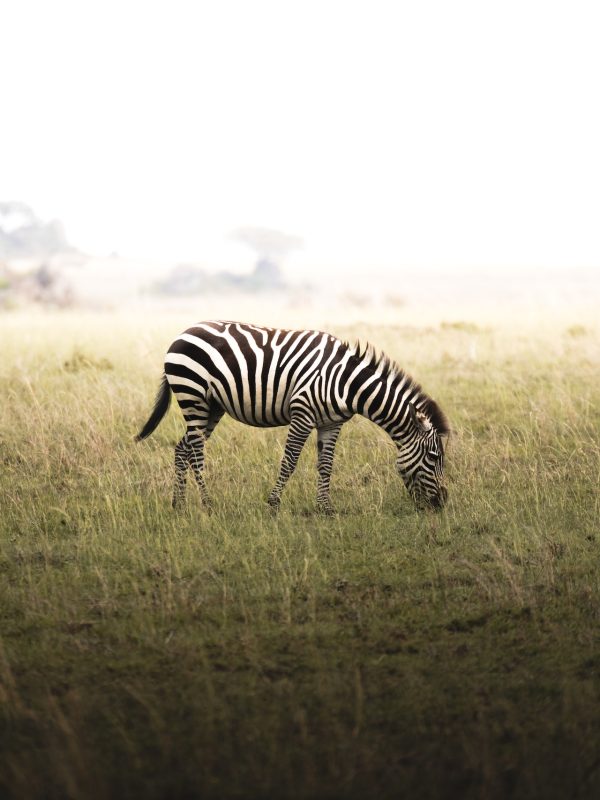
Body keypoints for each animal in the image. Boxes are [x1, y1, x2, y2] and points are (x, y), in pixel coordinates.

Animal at [135, 320, 446, 512]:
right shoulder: (302, 413)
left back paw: (179, 504)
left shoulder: (331, 423)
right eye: (433, 458)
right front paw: (273, 504)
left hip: (211, 406)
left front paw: (325, 508)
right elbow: (290, 461)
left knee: (183, 449)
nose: (442, 503)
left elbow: (326, 465)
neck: (347, 382)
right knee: (197, 451)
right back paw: (208, 503)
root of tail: (183, 332)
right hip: (193, 396)